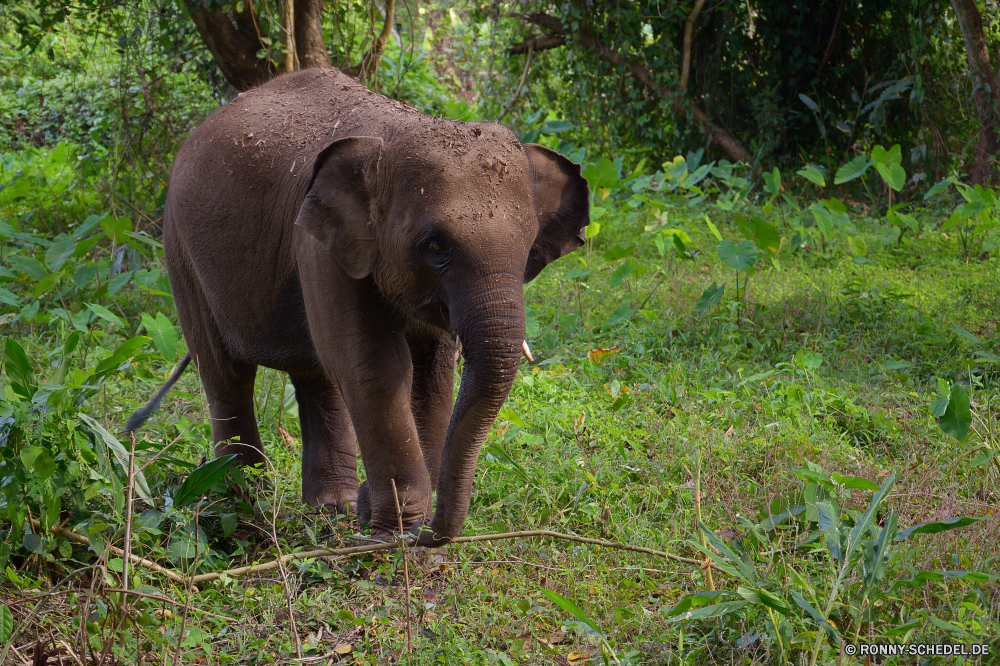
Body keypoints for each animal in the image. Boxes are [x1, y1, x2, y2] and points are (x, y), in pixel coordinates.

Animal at [128, 67, 588, 544]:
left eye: (528, 247)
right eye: (434, 246)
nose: (430, 536)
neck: (398, 132)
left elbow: (433, 372)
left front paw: (394, 524)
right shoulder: (319, 248)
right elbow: (374, 365)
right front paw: (394, 536)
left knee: (315, 374)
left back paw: (331, 507)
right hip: (180, 251)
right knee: (225, 372)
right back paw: (242, 503)